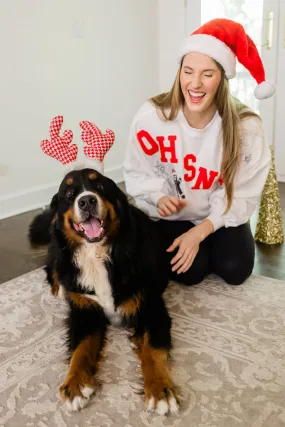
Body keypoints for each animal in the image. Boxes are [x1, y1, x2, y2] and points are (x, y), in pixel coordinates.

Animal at [27, 169, 178, 416]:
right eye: (69, 192)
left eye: (99, 186)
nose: (87, 201)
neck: (96, 253)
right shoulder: (84, 311)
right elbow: (80, 350)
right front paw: (75, 384)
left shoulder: (150, 307)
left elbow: (153, 349)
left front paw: (160, 389)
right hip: (59, 253)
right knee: (52, 266)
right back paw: (59, 288)